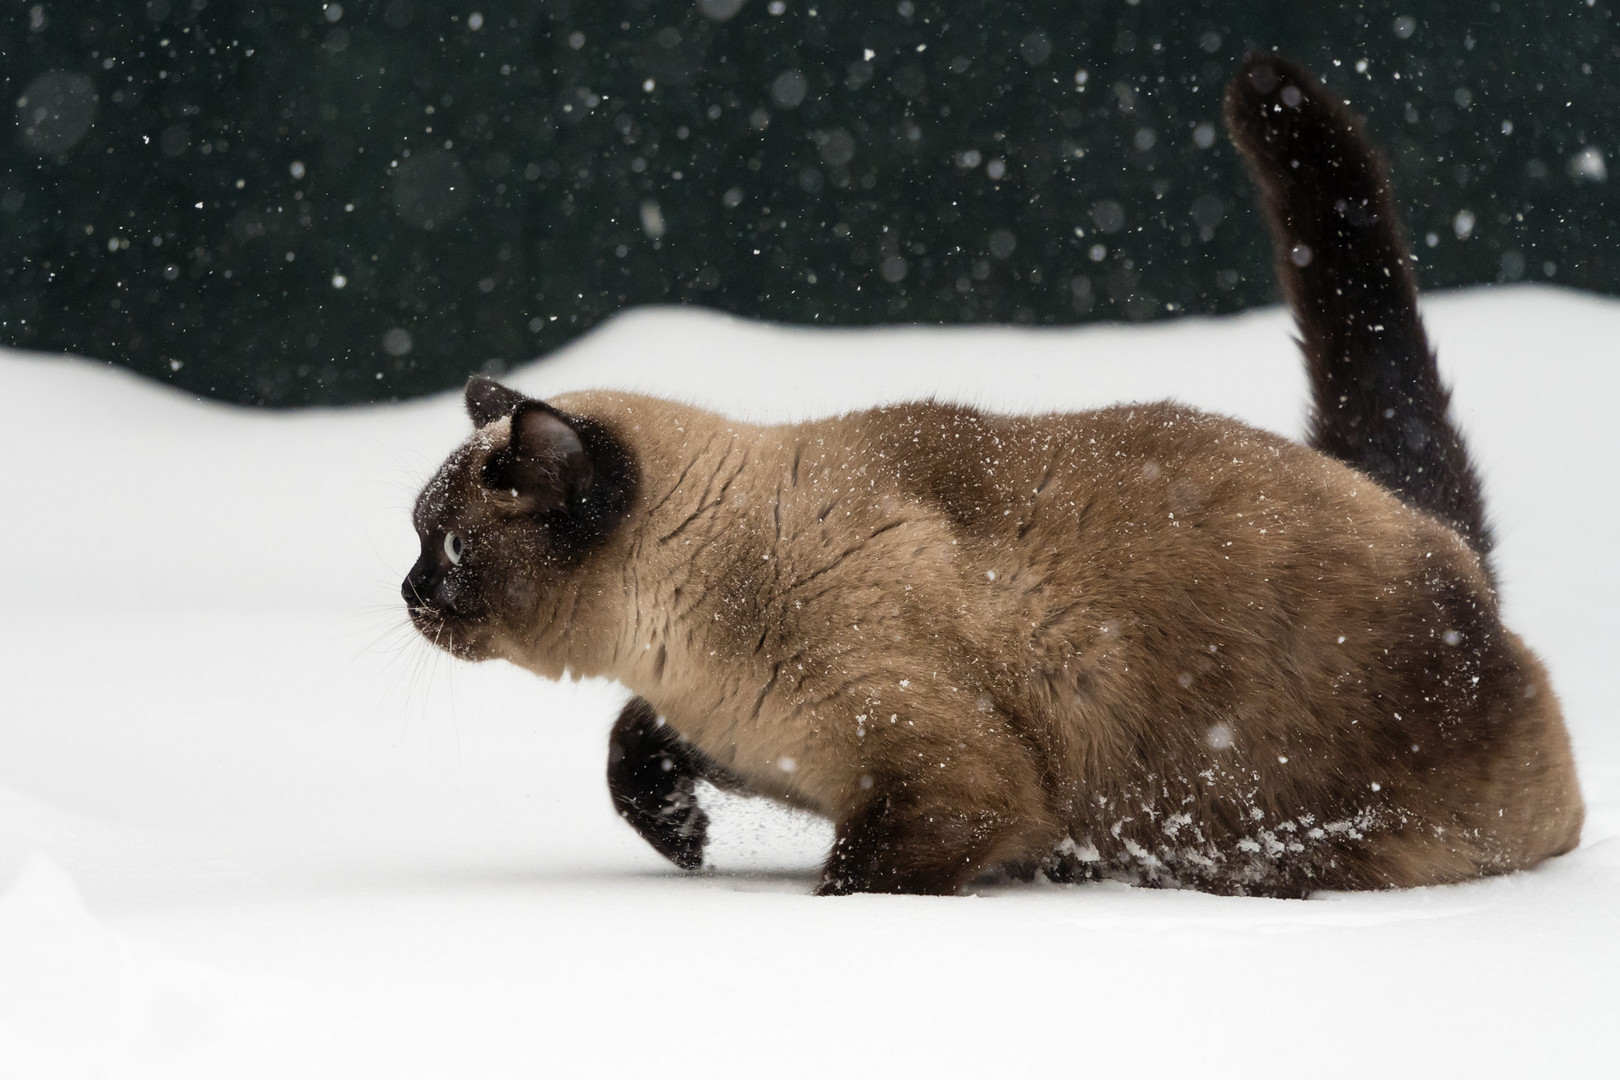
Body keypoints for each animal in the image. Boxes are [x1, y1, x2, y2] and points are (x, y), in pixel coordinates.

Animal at [405, 59, 1581, 900]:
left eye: (448, 543)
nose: (409, 593)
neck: (685, 621)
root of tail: (1447, 551)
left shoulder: (951, 790)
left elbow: (856, 883)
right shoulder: (748, 742)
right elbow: (632, 744)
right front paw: (686, 844)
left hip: (1315, 833)